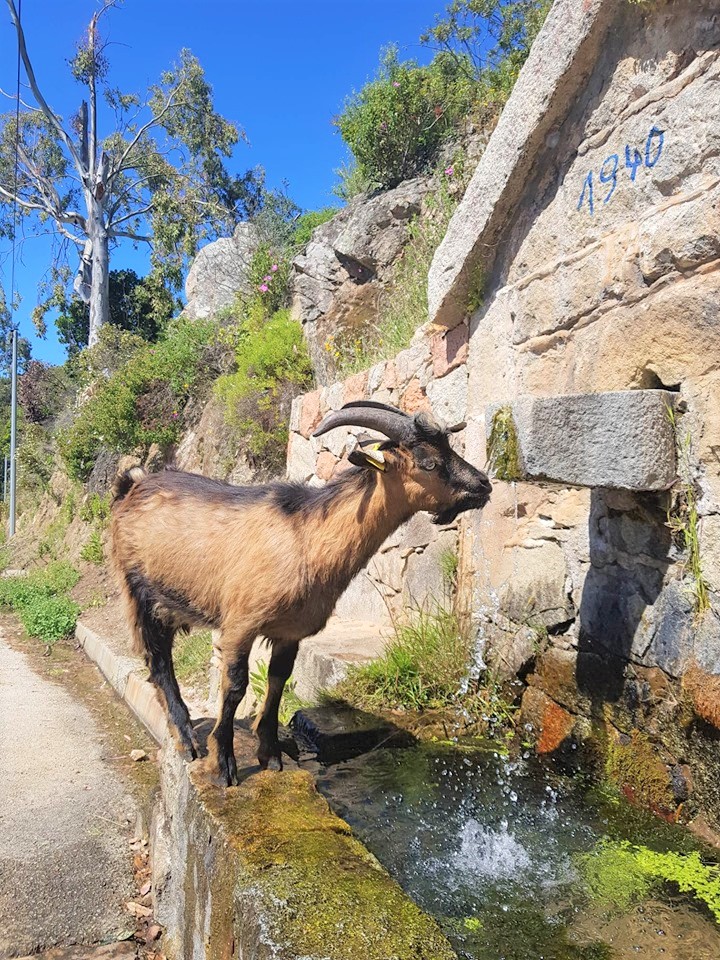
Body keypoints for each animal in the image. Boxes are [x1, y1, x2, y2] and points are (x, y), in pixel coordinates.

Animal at [109, 402, 492, 784]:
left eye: (450, 447)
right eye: (429, 463)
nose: (484, 484)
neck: (306, 539)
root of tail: (133, 484)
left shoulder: (290, 631)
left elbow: (278, 682)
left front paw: (271, 755)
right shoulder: (239, 624)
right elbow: (235, 687)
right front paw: (223, 765)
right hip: (138, 591)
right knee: (158, 660)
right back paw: (186, 740)